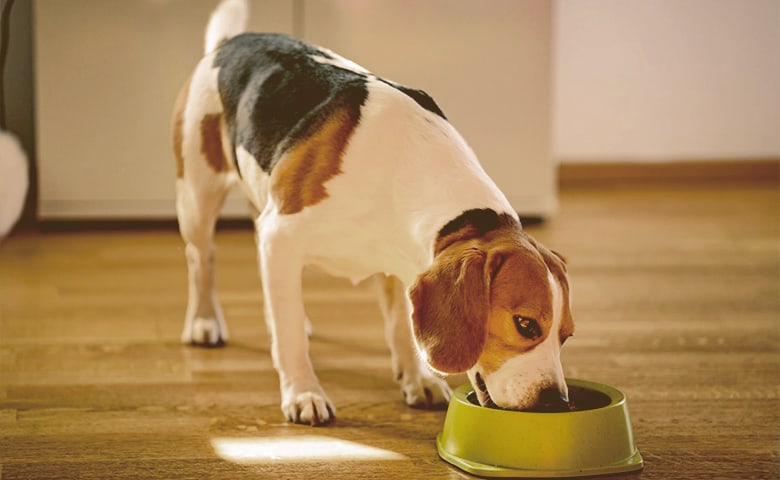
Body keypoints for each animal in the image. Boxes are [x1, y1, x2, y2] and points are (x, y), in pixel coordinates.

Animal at [175, 0, 572, 428]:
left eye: (566, 335)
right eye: (525, 324)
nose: (556, 403)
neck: (404, 165)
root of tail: (230, 43)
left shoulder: (403, 264)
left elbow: (401, 325)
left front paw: (417, 379)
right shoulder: (280, 235)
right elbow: (290, 336)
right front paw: (304, 393)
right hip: (197, 199)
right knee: (202, 260)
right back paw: (204, 322)